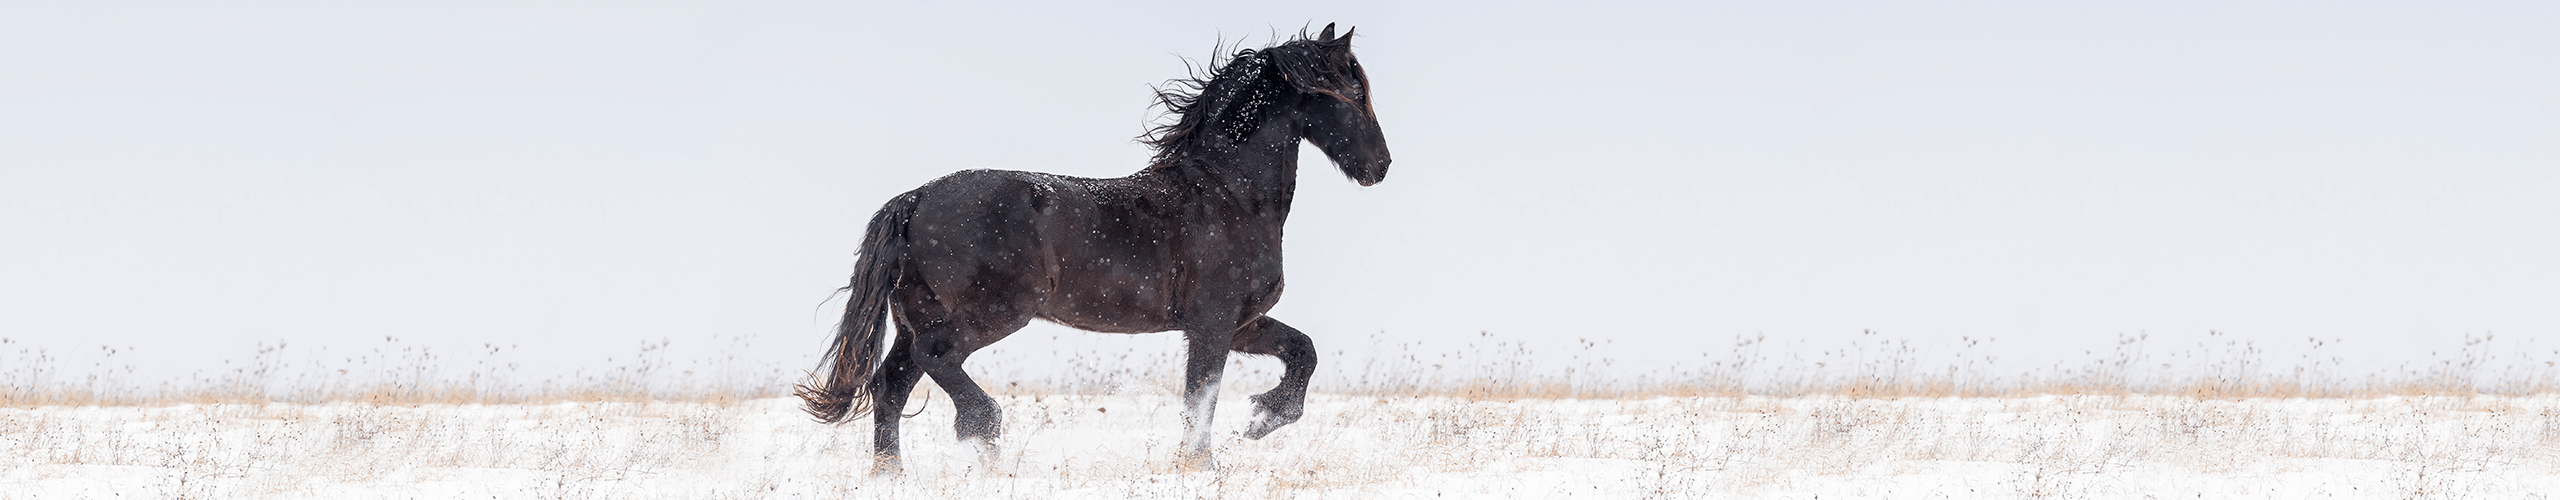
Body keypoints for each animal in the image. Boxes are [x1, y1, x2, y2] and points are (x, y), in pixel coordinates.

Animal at [798, 23, 1402, 474]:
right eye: (1353, 92)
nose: (1380, 166)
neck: (1228, 194)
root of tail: (916, 199)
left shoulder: (1242, 322)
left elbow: (1302, 352)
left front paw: (1260, 420)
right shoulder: (1212, 323)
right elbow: (1201, 396)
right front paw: (1201, 466)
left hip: (915, 318)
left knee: (890, 386)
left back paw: (892, 475)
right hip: (991, 313)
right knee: (935, 359)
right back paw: (984, 433)